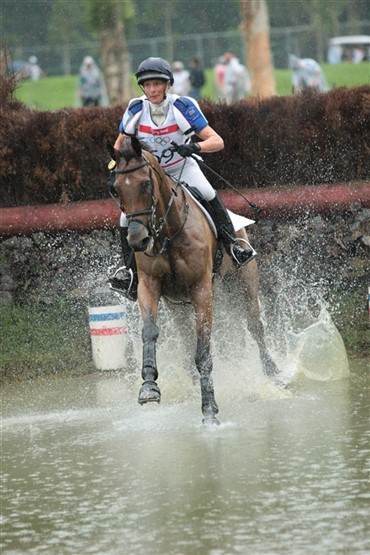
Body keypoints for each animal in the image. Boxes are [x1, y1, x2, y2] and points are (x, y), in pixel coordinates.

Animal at [107, 137, 278, 424]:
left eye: (146, 184)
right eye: (117, 190)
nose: (137, 241)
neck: (169, 232)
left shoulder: (201, 291)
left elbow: (204, 350)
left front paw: (209, 409)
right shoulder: (149, 287)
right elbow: (150, 332)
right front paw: (149, 387)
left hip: (244, 285)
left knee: (255, 325)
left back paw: (273, 373)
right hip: (178, 306)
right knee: (188, 341)